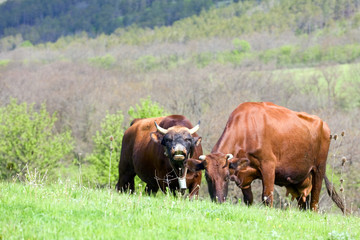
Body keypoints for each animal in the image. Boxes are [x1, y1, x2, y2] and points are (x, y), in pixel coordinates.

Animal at [186, 101, 346, 212]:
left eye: (226, 177)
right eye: (208, 177)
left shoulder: (268, 166)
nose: (218, 201)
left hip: (319, 169)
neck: (246, 129)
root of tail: (323, 123)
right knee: (303, 204)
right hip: (300, 181)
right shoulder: (244, 177)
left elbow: (267, 197)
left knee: (314, 202)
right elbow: (248, 200)